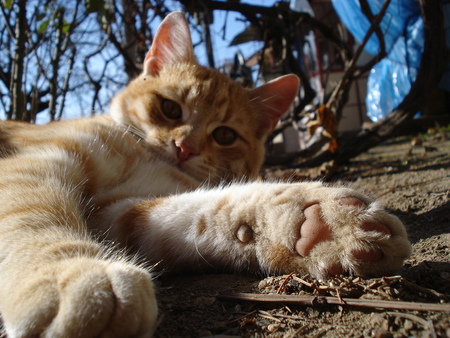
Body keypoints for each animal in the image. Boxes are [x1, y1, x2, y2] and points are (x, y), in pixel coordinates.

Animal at [0, 11, 410, 336]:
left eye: (224, 135)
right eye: (170, 108)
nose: (185, 147)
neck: (142, 157)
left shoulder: (118, 212)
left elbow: (200, 212)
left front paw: (316, 225)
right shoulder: (36, 164)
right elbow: (30, 215)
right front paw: (70, 276)